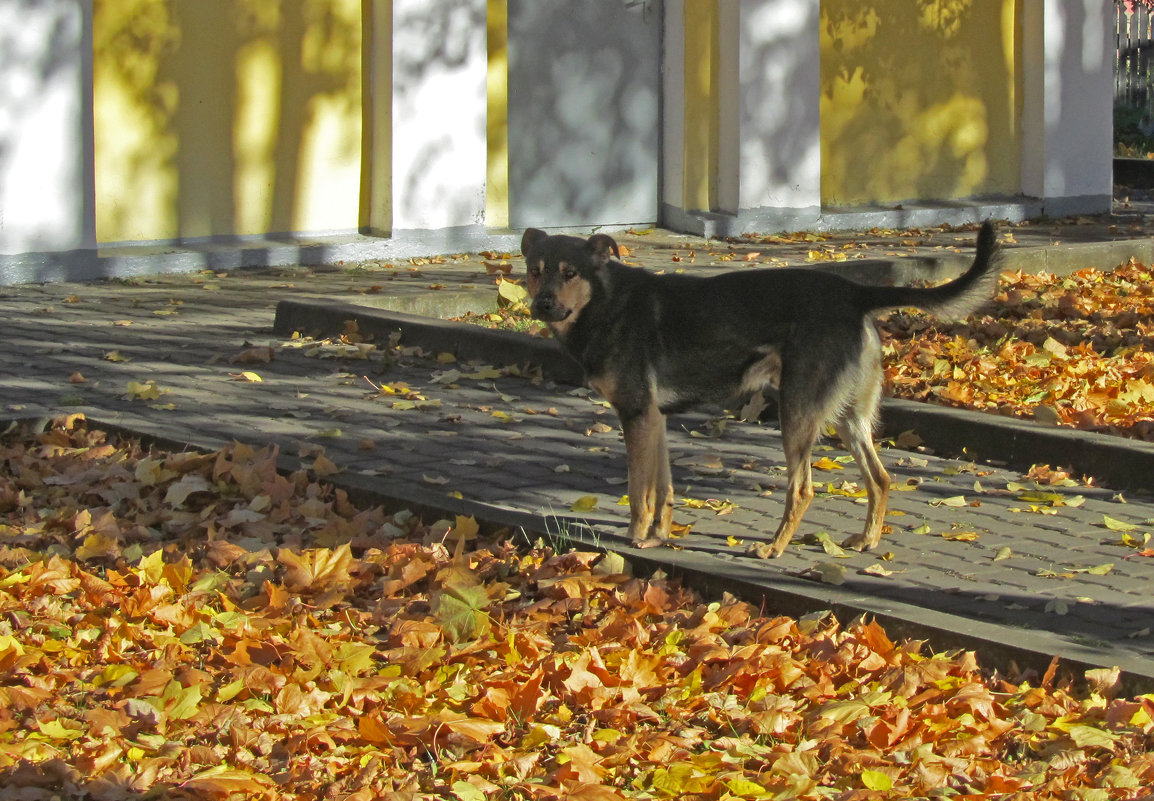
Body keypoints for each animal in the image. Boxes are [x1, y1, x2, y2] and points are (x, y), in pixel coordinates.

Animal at [523, 222, 1001, 556]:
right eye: (535, 271)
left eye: (570, 273)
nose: (542, 304)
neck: (606, 301)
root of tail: (853, 294)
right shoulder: (653, 419)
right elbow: (664, 489)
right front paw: (659, 534)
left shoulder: (637, 415)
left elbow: (639, 493)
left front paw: (636, 536)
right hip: (848, 417)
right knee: (880, 479)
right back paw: (867, 540)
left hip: (797, 414)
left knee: (802, 489)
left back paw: (774, 548)